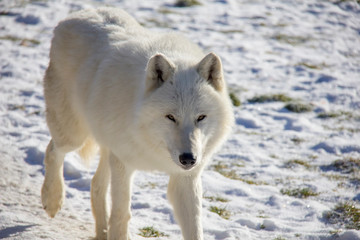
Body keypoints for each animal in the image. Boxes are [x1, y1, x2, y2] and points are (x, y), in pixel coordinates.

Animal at [41, 7, 233, 240]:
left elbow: (195, 228)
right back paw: (52, 200)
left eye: (200, 117)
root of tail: (80, 12)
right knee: (52, 151)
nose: (188, 159)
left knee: (95, 184)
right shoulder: (123, 163)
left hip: (104, 146)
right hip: (73, 135)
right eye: (171, 117)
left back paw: (100, 232)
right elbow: (121, 215)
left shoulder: (185, 178)